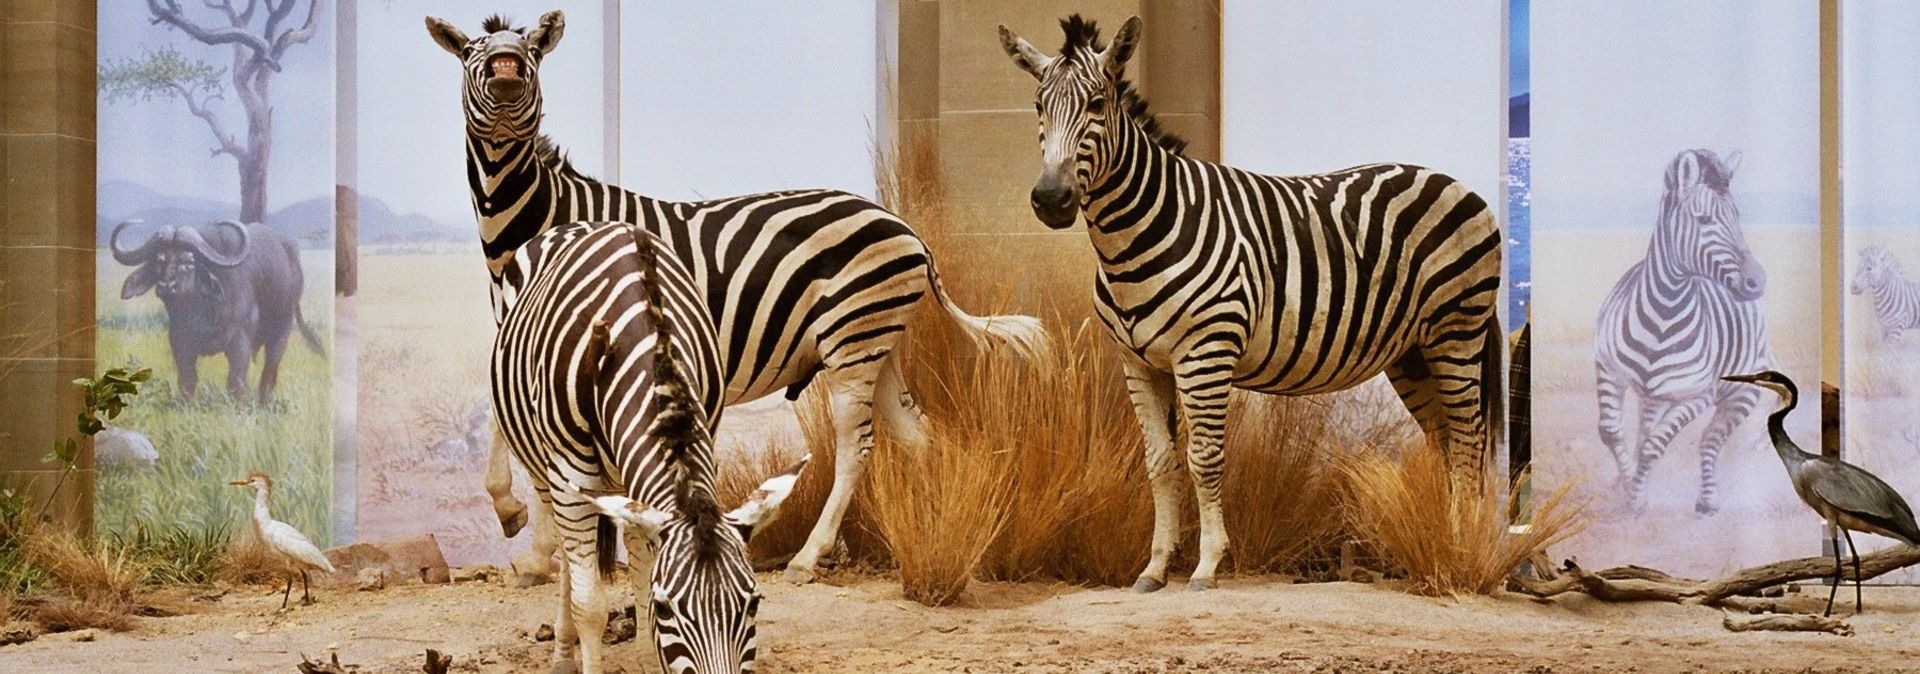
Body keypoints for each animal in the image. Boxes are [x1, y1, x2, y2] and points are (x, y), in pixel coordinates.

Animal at [109, 218, 322, 403]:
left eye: (190, 261)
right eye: (159, 261)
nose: (166, 287)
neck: (202, 312)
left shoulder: (240, 342)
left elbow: (235, 382)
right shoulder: (179, 342)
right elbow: (187, 381)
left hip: (282, 329)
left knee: (269, 371)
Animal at [428, 9, 1052, 587]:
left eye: (532, 52)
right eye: (472, 53)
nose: (507, 69)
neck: (534, 226)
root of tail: (903, 226)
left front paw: (529, 536)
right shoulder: (526, 333)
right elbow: (508, 424)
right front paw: (530, 538)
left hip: (853, 340)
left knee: (857, 446)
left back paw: (810, 556)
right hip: (876, 341)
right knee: (917, 434)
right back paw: (943, 537)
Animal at [495, 217, 810, 674]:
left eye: (753, 604)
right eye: (667, 610)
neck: (649, 340)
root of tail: (581, 222)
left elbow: (644, 571)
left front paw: (648, 656)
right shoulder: (570, 470)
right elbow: (590, 604)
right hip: (545, 471)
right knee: (569, 562)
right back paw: (563, 653)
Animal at [998, 15, 1505, 595]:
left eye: (1098, 104)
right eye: (1038, 106)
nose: (1051, 201)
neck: (1139, 235)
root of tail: (1459, 185)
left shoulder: (1205, 354)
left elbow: (1204, 459)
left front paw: (1207, 565)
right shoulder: (1140, 364)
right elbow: (1159, 463)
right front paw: (1154, 568)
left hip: (1456, 332)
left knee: (1468, 441)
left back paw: (1463, 550)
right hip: (1413, 353)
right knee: (1445, 443)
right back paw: (1443, 543)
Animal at [1589, 148, 1766, 518]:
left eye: (1738, 216)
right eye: (1704, 220)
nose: (1758, 282)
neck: (1662, 313)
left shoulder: (1696, 396)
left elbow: (1655, 446)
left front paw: (1637, 498)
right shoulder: (1607, 369)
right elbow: (1612, 432)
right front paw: (1626, 485)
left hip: (1741, 393)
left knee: (1709, 441)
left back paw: (1707, 500)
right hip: (1652, 396)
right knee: (1643, 430)